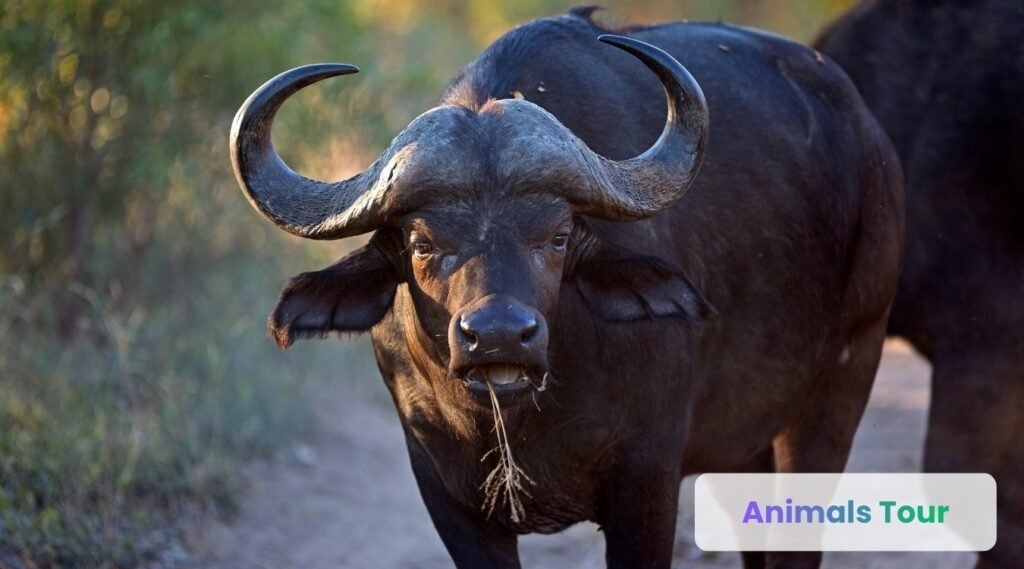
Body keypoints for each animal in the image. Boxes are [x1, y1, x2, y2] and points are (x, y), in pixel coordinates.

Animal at [232, 8, 903, 568]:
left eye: (556, 236)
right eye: (422, 243)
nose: (499, 336)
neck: (517, 421)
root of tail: (869, 138)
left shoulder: (647, 481)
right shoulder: (447, 498)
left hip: (844, 376)